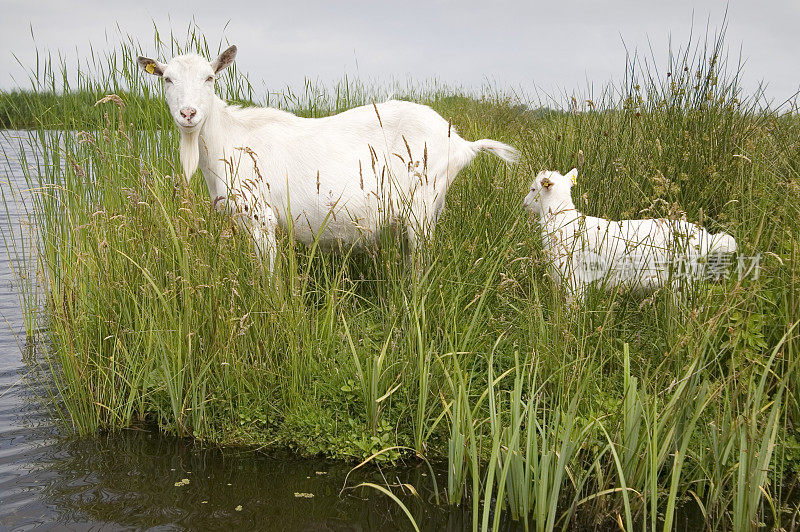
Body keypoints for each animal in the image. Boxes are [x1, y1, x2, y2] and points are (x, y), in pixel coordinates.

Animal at [138, 46, 520, 272]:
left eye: (209, 77)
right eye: (167, 79)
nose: (188, 113)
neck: (229, 139)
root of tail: (462, 143)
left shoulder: (262, 217)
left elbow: (269, 277)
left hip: (421, 205)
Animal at [524, 168, 736, 302]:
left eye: (533, 189)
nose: (524, 204)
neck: (562, 219)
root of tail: (707, 238)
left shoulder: (574, 280)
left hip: (684, 279)